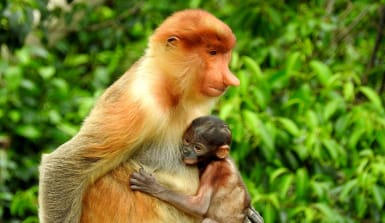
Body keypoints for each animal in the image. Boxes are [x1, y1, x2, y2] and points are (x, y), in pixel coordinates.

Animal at [38, 9, 240, 223]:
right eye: (212, 53)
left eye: (224, 55)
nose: (231, 79)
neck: (170, 90)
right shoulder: (139, 104)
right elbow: (63, 167)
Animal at [130, 116, 262, 223]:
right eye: (187, 140)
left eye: (198, 148)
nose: (186, 151)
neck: (213, 159)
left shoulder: (214, 169)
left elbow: (199, 206)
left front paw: (152, 186)